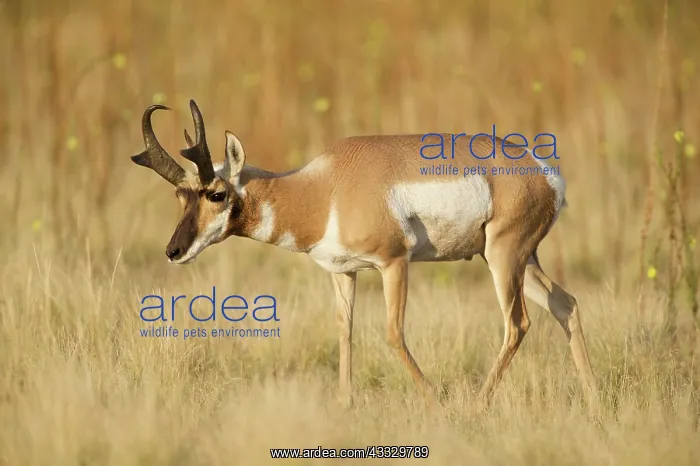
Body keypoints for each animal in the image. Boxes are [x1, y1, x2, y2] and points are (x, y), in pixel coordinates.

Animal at [131, 99, 598, 409]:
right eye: (180, 195)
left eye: (217, 193)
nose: (174, 251)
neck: (326, 187)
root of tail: (542, 170)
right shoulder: (343, 273)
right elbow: (345, 332)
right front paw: (344, 404)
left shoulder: (393, 263)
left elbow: (392, 333)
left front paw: (434, 401)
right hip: (518, 260)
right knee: (566, 304)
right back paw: (594, 401)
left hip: (504, 257)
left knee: (517, 323)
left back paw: (476, 404)